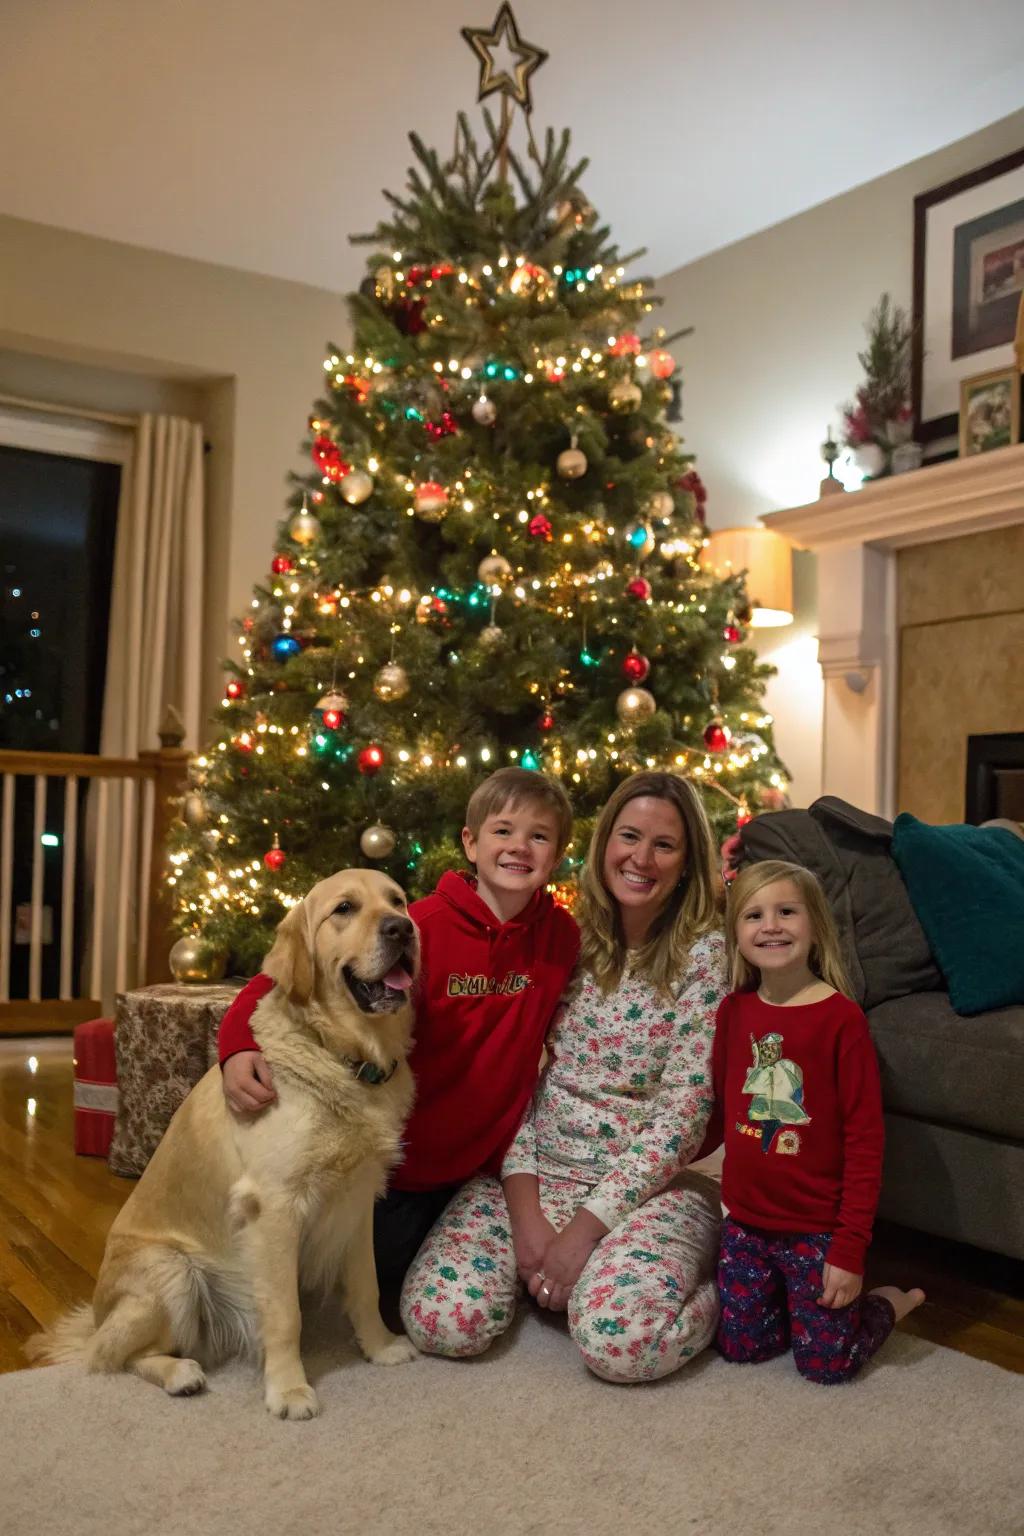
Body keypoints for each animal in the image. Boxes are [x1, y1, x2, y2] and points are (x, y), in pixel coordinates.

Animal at [28, 872, 420, 1419]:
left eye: (398, 902)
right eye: (344, 909)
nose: (402, 929)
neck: (338, 1055)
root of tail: (99, 1313)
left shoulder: (357, 1203)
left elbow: (367, 1285)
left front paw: (380, 1348)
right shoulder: (274, 1207)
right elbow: (285, 1315)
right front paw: (289, 1390)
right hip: (172, 1269)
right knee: (110, 1354)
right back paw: (180, 1374)